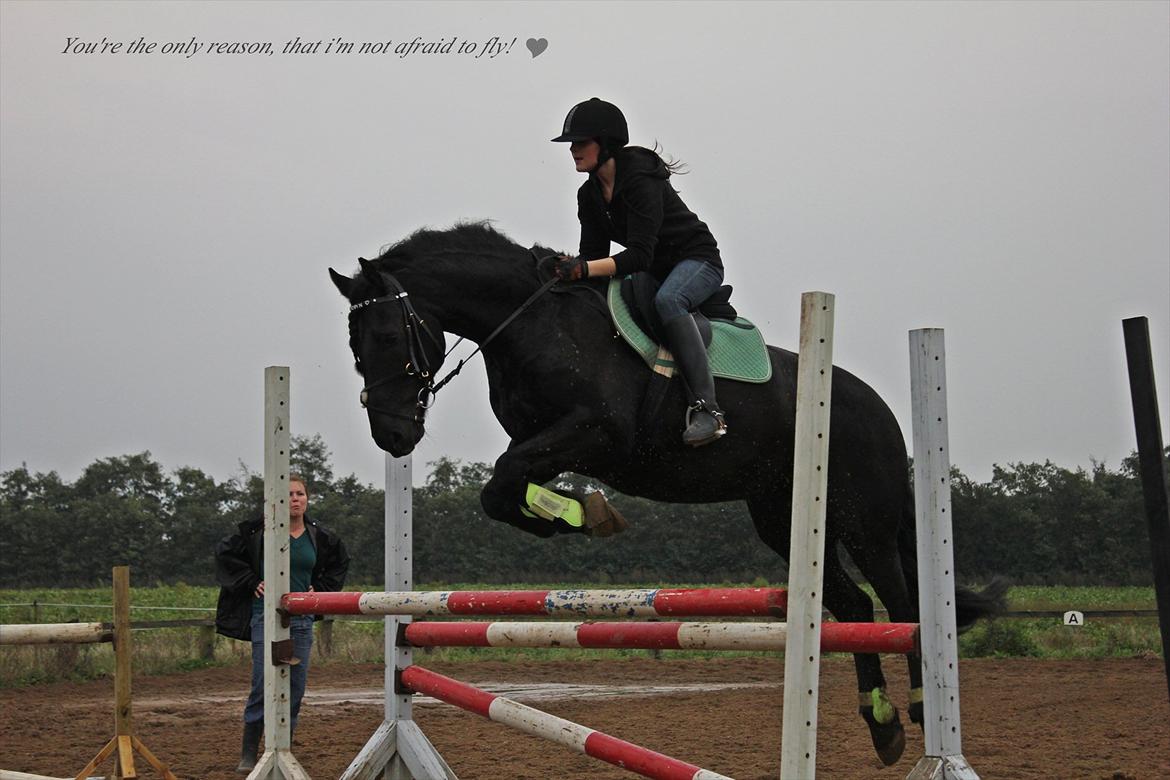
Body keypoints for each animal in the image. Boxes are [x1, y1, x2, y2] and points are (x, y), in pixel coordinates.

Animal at [332, 221, 1006, 767]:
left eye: (387, 337)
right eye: (354, 346)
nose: (393, 435)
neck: (532, 322)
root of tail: (882, 408)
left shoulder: (595, 431)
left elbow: (502, 481)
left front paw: (578, 515)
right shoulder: (547, 441)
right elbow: (503, 490)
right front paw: (575, 515)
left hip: (865, 520)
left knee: (902, 604)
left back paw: (918, 708)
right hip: (784, 519)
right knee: (854, 606)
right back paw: (882, 724)